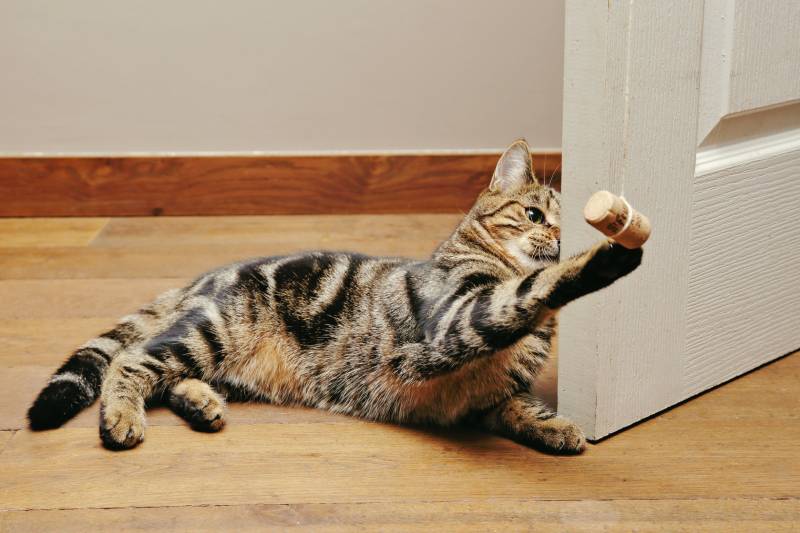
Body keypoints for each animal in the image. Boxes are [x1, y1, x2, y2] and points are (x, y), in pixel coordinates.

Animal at [31, 140, 640, 454]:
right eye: (534, 215)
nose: (559, 239)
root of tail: (205, 277)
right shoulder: (459, 320)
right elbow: (528, 292)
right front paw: (609, 255)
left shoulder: (485, 396)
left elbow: (520, 405)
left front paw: (558, 427)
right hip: (211, 331)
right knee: (132, 362)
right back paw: (122, 419)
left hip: (216, 354)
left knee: (170, 376)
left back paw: (203, 404)